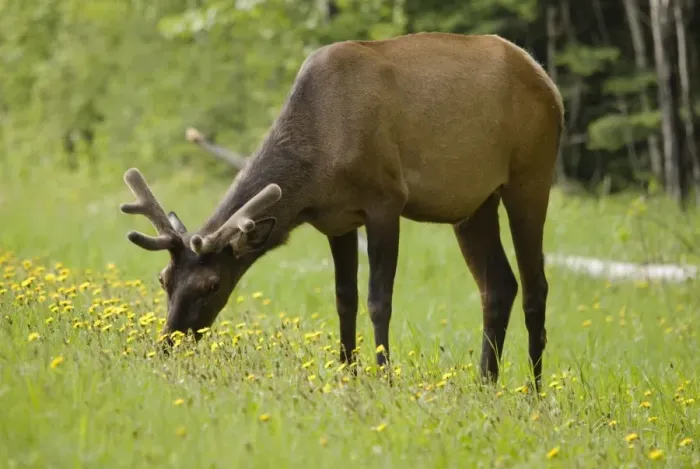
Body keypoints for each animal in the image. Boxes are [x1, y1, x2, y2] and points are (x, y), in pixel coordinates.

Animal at [120, 32, 564, 391]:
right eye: (163, 279)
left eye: (212, 284)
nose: (167, 343)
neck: (318, 168)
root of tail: (549, 83)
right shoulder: (336, 220)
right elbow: (343, 298)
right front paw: (346, 371)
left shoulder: (386, 200)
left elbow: (378, 300)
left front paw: (383, 376)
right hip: (473, 202)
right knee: (499, 285)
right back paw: (486, 382)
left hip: (531, 173)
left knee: (536, 286)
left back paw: (535, 389)